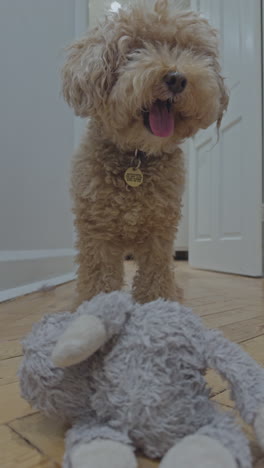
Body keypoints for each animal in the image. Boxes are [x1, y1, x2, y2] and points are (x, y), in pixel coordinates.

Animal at [61, 0, 227, 308]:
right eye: (136, 48)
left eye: (190, 50)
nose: (176, 78)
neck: (136, 155)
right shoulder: (96, 231)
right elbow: (98, 275)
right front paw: (96, 304)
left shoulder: (159, 232)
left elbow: (156, 273)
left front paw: (159, 304)